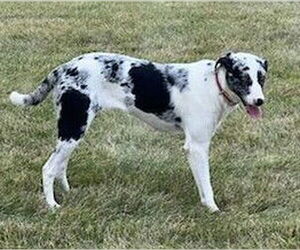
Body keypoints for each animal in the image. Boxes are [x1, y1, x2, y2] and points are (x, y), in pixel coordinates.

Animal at [8, 51, 268, 212]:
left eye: (261, 78)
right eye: (243, 77)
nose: (260, 101)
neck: (214, 85)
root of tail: (65, 67)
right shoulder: (196, 146)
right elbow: (206, 185)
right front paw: (212, 209)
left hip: (73, 130)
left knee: (60, 165)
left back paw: (67, 192)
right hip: (74, 127)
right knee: (49, 168)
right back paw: (51, 205)